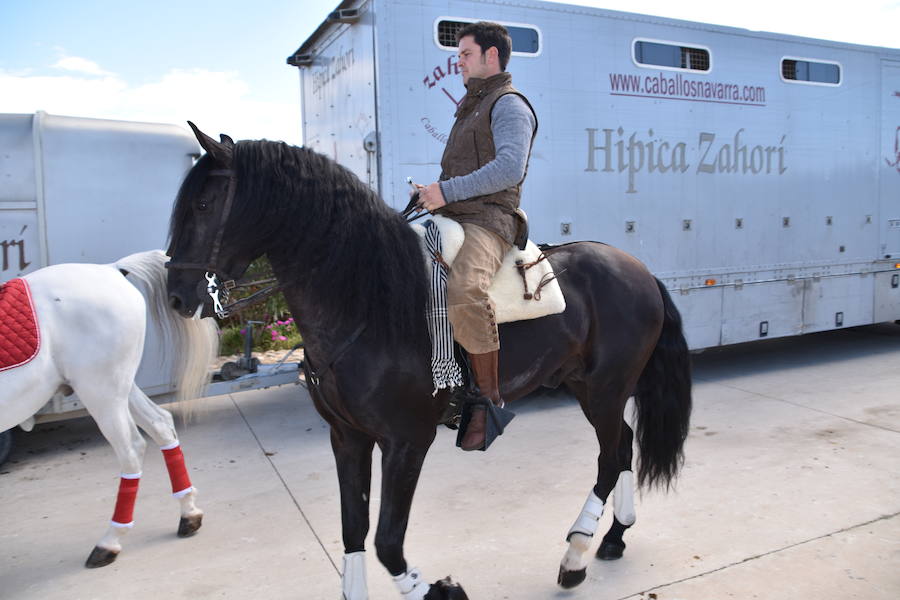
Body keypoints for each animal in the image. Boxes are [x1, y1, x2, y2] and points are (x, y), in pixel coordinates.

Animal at [0, 250, 218, 568]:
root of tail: (111, 269)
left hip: (101, 392)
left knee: (131, 450)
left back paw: (110, 542)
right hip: (120, 386)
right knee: (161, 424)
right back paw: (188, 513)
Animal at [165, 124, 692, 596]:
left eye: (203, 205)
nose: (176, 296)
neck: (368, 302)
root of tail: (639, 270)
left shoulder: (407, 441)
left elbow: (387, 542)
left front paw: (442, 589)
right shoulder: (348, 437)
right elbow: (354, 530)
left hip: (606, 389)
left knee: (609, 458)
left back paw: (576, 556)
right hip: (586, 387)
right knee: (622, 445)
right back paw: (614, 536)